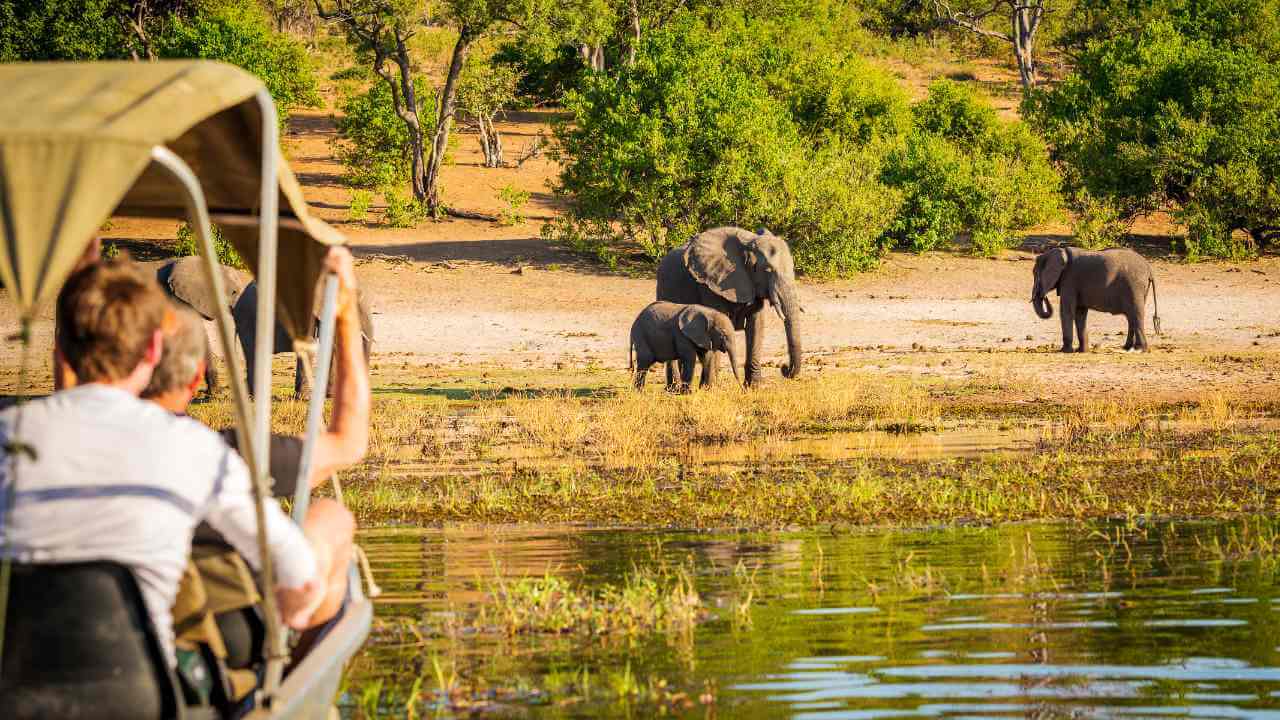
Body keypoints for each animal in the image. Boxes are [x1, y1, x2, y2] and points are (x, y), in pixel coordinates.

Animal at [660, 224, 798, 384]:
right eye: (768, 270)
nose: (784, 368)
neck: (747, 244)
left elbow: (756, 325)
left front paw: (754, 386)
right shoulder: (710, 284)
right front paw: (711, 387)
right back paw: (674, 387)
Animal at [1029, 244, 1162, 351]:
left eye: (1035, 274)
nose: (1044, 296)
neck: (1061, 252)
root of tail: (1149, 268)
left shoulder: (1069, 280)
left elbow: (1066, 311)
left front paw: (1065, 351)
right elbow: (1080, 313)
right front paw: (1082, 351)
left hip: (1134, 286)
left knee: (1136, 314)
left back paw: (1139, 349)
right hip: (1139, 289)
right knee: (1131, 316)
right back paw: (1127, 347)